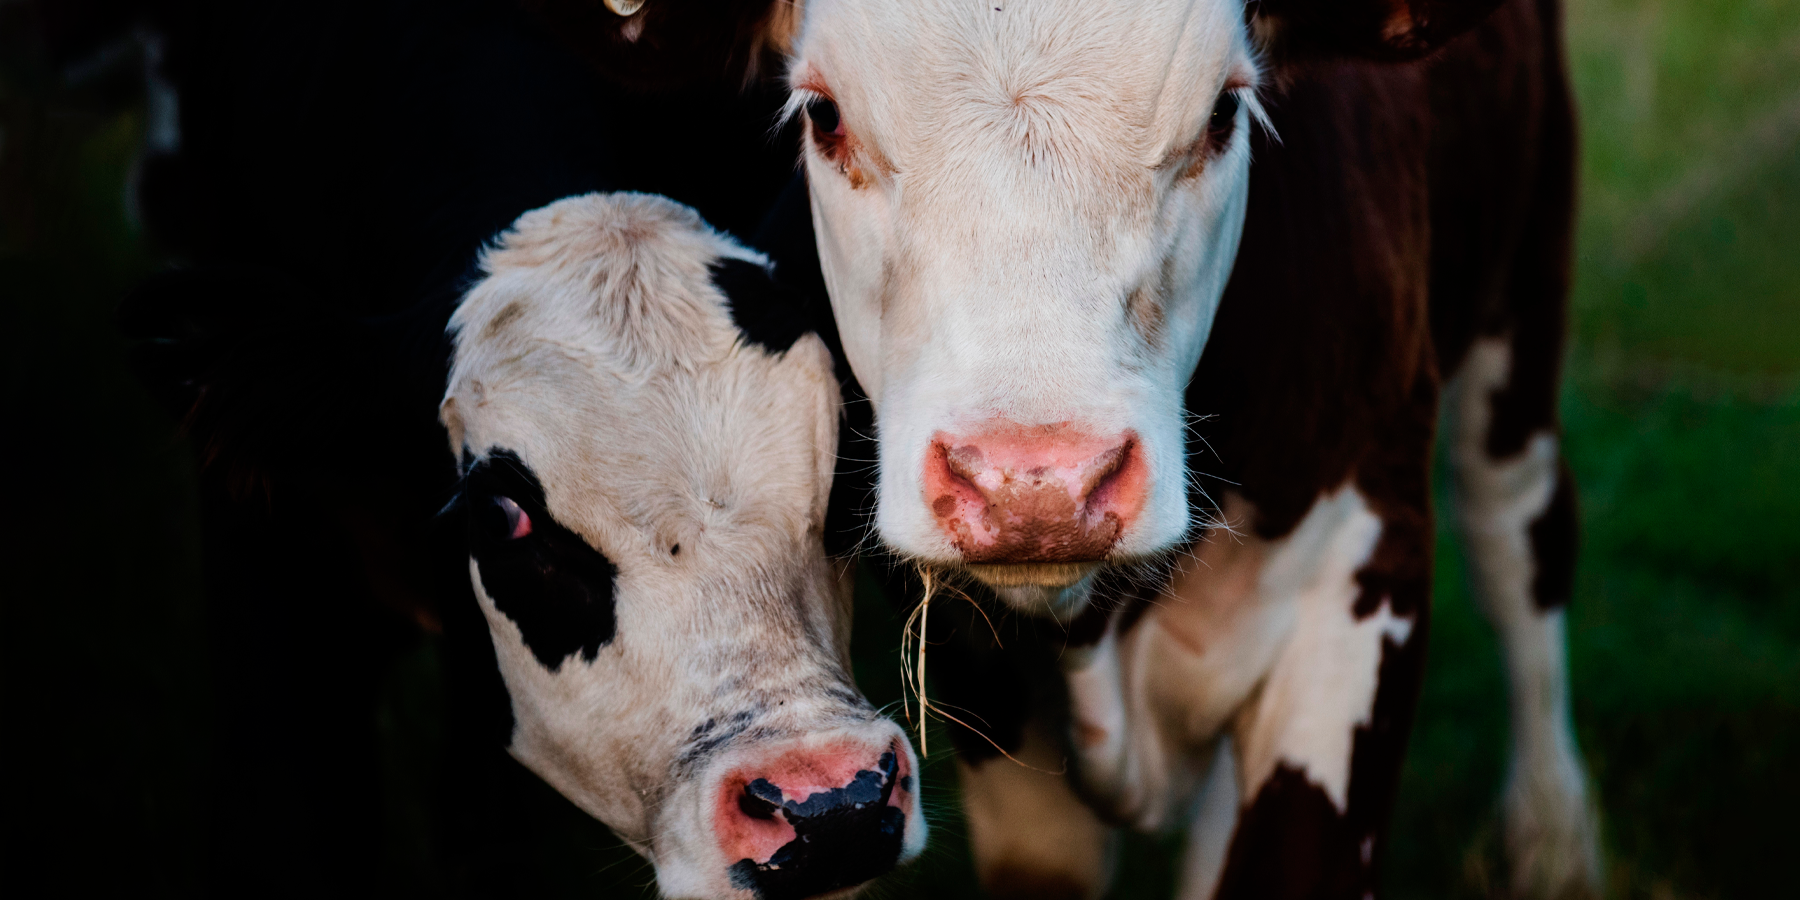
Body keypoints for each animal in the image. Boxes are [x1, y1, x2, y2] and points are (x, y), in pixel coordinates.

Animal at [777, 1, 1605, 900]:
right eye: (824, 116)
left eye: (1223, 113)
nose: (1036, 488)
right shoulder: (983, 681)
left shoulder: (1360, 570)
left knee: (1515, 528)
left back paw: (1553, 838)